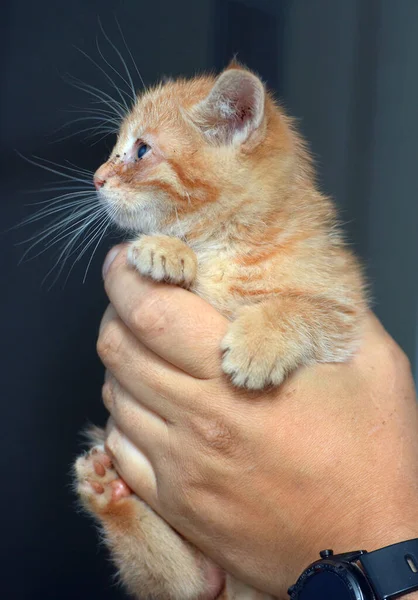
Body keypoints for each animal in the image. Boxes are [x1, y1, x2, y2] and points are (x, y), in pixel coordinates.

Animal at [74, 63, 366, 596]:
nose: (97, 177)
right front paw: (167, 249)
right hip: (194, 576)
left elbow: (301, 308)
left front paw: (258, 345)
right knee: (180, 580)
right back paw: (109, 492)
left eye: (141, 150)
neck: (229, 243)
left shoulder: (344, 312)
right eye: (116, 147)